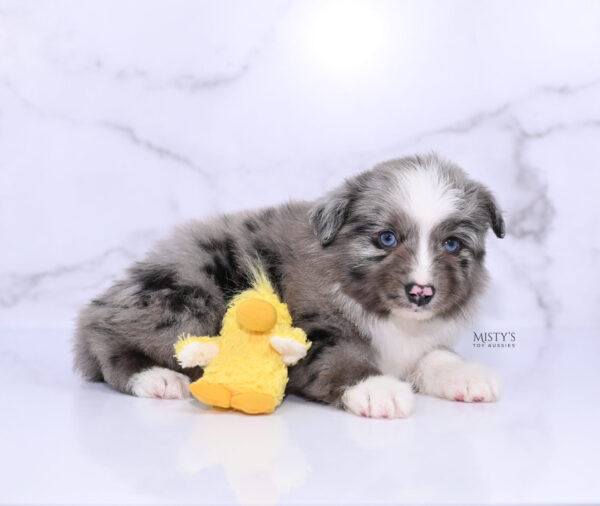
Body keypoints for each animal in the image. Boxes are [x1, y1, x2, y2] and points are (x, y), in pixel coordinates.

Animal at [75, 154, 506, 420]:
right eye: (386, 239)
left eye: (452, 244)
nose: (421, 293)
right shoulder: (315, 329)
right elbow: (341, 357)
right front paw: (377, 389)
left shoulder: (420, 339)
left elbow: (436, 356)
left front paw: (465, 375)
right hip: (188, 294)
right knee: (108, 338)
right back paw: (155, 377)